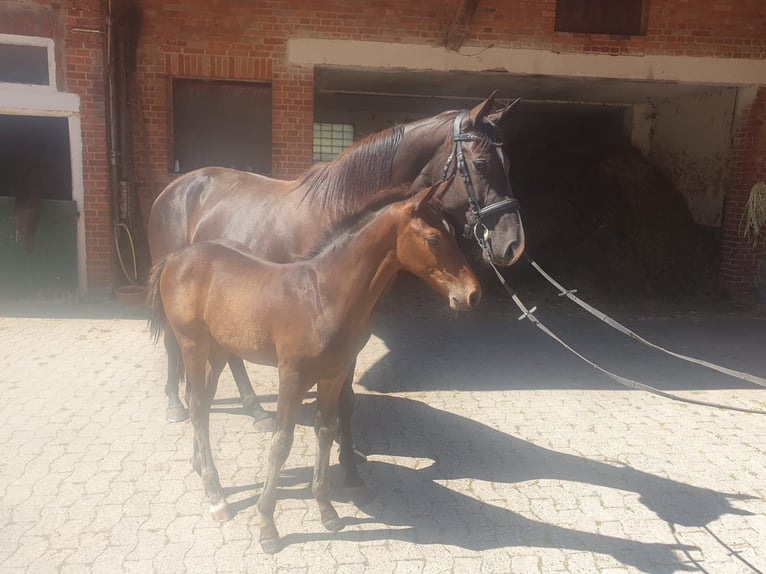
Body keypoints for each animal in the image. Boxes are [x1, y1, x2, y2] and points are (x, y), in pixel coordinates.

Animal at [147, 92, 524, 482]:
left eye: (509, 161)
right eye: (480, 163)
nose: (512, 244)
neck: (339, 207)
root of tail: (176, 188)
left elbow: (346, 398)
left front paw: (346, 458)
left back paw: (255, 410)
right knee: (176, 347)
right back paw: (176, 403)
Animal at [147, 182, 481, 553]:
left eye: (455, 233)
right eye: (434, 238)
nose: (472, 294)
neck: (323, 295)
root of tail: (176, 258)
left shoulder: (333, 376)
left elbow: (326, 431)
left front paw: (327, 509)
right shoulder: (291, 377)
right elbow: (281, 444)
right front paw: (267, 525)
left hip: (217, 351)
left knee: (201, 404)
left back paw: (202, 469)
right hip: (192, 345)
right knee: (196, 408)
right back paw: (216, 496)